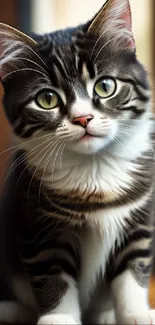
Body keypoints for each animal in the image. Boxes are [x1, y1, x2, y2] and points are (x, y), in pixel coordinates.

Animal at [0, 0, 155, 322]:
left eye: (105, 86)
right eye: (47, 99)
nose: (83, 118)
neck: (94, 167)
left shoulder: (140, 215)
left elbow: (133, 265)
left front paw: (136, 314)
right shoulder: (37, 223)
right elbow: (52, 275)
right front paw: (59, 318)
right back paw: (12, 309)